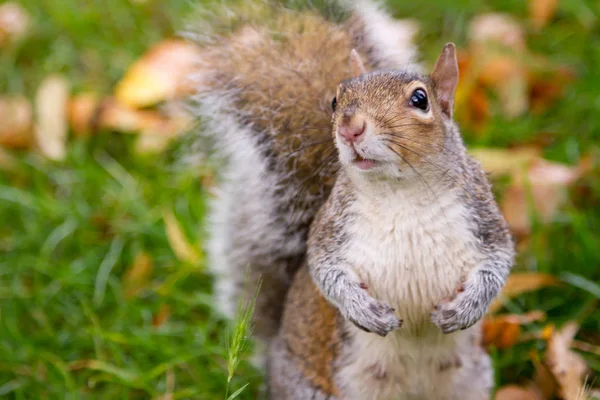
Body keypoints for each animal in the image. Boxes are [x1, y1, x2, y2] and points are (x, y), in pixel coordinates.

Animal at [190, 1, 512, 398]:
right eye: (334, 100)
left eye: (420, 99)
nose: (349, 127)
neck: (400, 192)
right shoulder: (331, 228)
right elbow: (325, 271)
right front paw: (364, 311)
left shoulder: (482, 215)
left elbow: (497, 263)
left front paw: (465, 309)